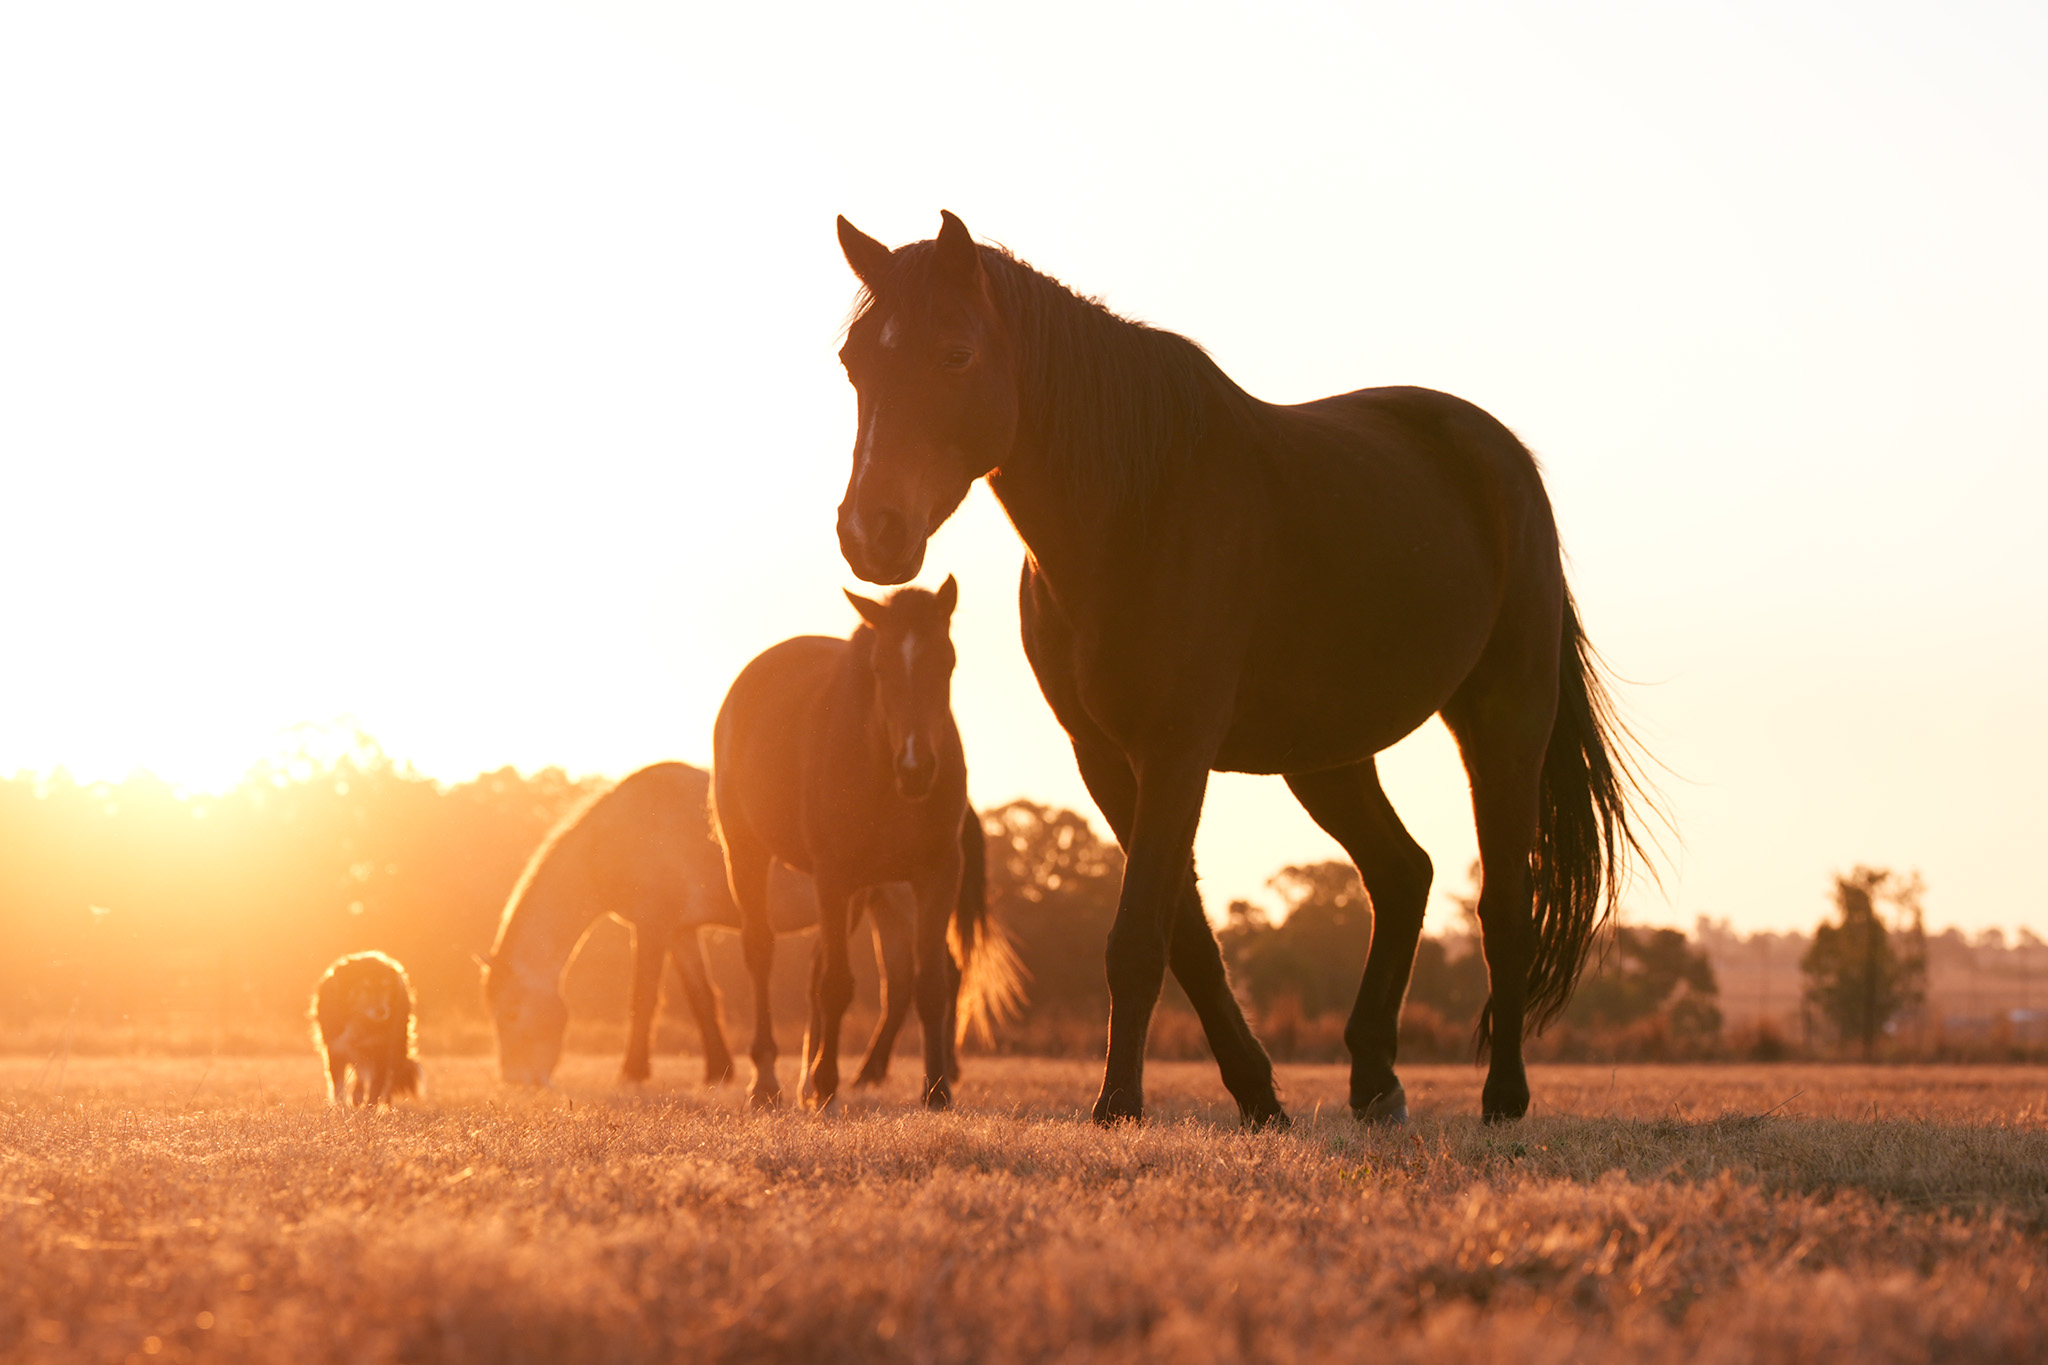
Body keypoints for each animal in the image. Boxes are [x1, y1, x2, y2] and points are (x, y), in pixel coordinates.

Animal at [311, 951, 421, 1106]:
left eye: (386, 987)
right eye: (365, 988)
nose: (382, 1011)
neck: (361, 1021)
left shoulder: (382, 1050)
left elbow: (376, 1087)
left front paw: (370, 1109)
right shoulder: (335, 1049)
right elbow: (338, 1087)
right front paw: (340, 1109)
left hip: (397, 1044)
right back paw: (357, 1095)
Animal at [479, 761, 974, 1089]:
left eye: (511, 1013)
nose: (517, 1079)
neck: (620, 832)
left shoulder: (653, 925)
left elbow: (644, 997)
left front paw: (633, 1071)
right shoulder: (680, 932)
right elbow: (701, 996)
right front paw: (719, 1069)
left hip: (908, 900)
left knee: (942, 975)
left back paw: (934, 1070)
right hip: (884, 906)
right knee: (904, 984)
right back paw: (878, 1072)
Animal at [712, 578, 1021, 1110]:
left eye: (948, 662)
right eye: (880, 668)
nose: (916, 767)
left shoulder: (938, 874)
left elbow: (931, 983)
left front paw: (937, 1090)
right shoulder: (834, 874)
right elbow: (837, 984)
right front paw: (827, 1085)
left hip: (867, 893)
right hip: (750, 852)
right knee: (761, 952)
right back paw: (769, 1078)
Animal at [830, 212, 1648, 1126]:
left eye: (956, 354)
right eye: (855, 360)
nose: (871, 532)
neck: (1134, 509)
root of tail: (1501, 456)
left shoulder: (1176, 748)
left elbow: (1139, 934)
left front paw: (1118, 1103)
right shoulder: (1106, 759)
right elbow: (1185, 935)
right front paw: (1257, 1094)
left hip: (1505, 718)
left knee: (1504, 903)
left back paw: (1503, 1096)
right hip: (1326, 755)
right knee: (1403, 873)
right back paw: (1375, 1080)